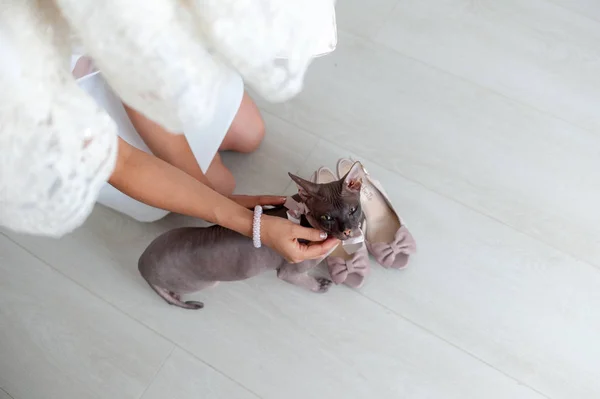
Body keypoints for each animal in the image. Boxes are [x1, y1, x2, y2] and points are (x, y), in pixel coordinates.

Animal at [138, 162, 364, 310]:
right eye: (327, 217)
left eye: (353, 210)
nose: (347, 230)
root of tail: (141, 267)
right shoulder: (291, 270)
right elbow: (303, 279)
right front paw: (318, 286)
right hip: (203, 282)